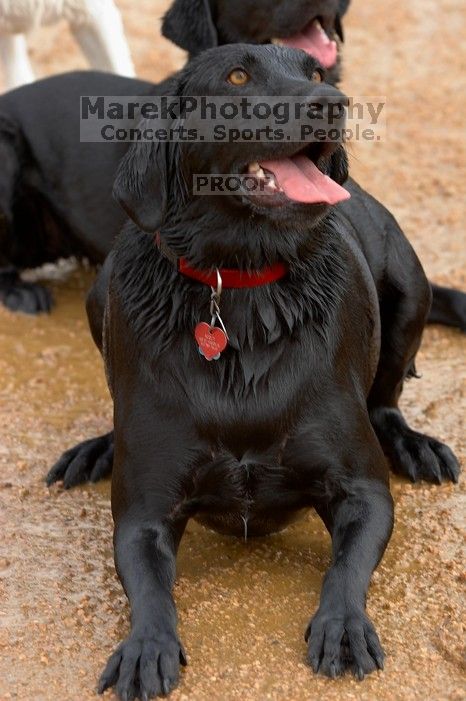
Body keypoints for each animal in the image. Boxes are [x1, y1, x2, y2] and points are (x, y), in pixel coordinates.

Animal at [48, 46, 458, 696]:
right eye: (237, 76)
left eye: (315, 74)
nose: (334, 104)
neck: (239, 286)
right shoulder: (142, 513)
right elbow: (149, 590)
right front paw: (145, 647)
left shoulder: (363, 489)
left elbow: (345, 567)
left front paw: (343, 626)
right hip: (99, 289)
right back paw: (99, 447)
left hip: (407, 277)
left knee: (389, 396)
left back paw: (414, 444)